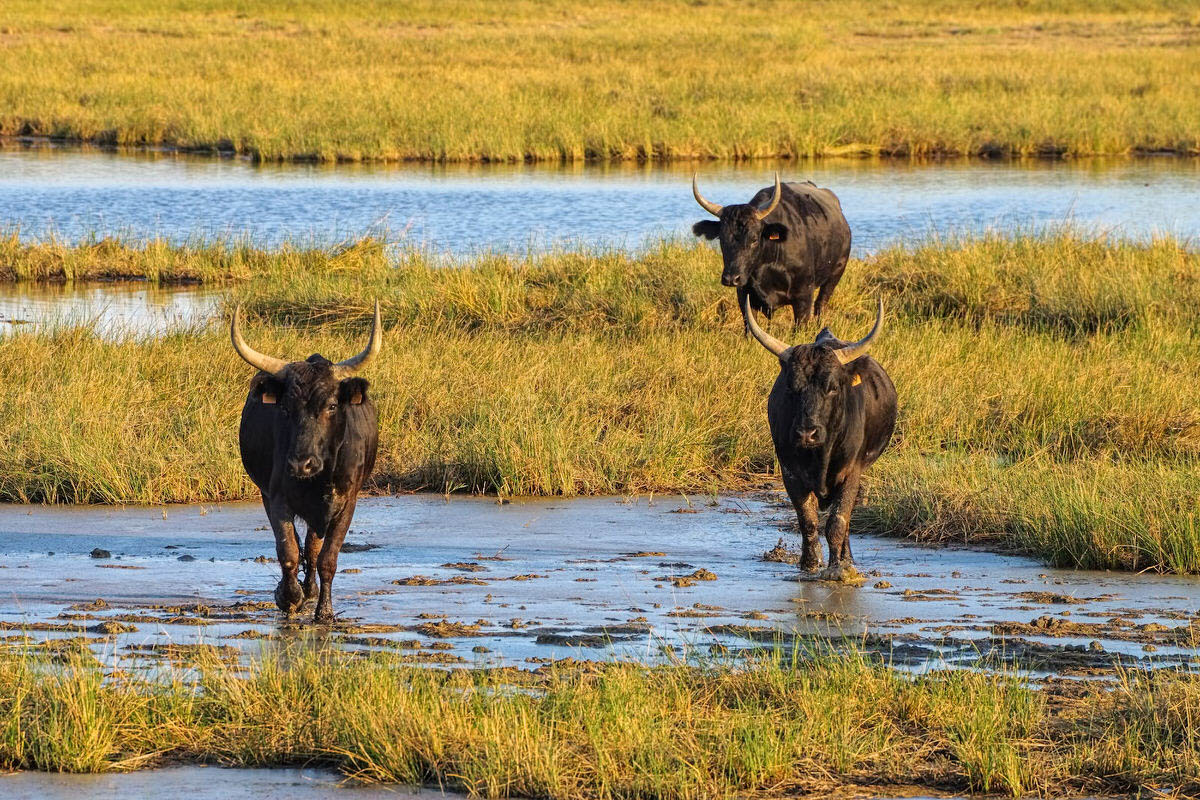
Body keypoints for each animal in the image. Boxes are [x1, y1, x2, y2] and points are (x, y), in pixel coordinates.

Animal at [231, 303, 381, 623]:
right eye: (286, 409)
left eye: (332, 406)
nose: (302, 464)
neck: (317, 478)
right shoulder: (275, 498)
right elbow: (288, 551)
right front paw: (288, 597)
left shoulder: (346, 502)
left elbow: (327, 557)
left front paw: (324, 611)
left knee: (313, 549)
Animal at [696, 173, 854, 326]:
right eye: (721, 239)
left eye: (754, 239)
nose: (731, 279)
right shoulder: (744, 295)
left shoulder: (804, 297)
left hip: (835, 273)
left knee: (821, 304)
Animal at [739, 293, 902, 582]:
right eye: (791, 387)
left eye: (832, 387)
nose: (806, 433)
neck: (820, 454)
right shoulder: (790, 473)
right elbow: (808, 521)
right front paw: (809, 565)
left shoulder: (852, 472)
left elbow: (837, 522)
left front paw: (838, 568)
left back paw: (847, 560)